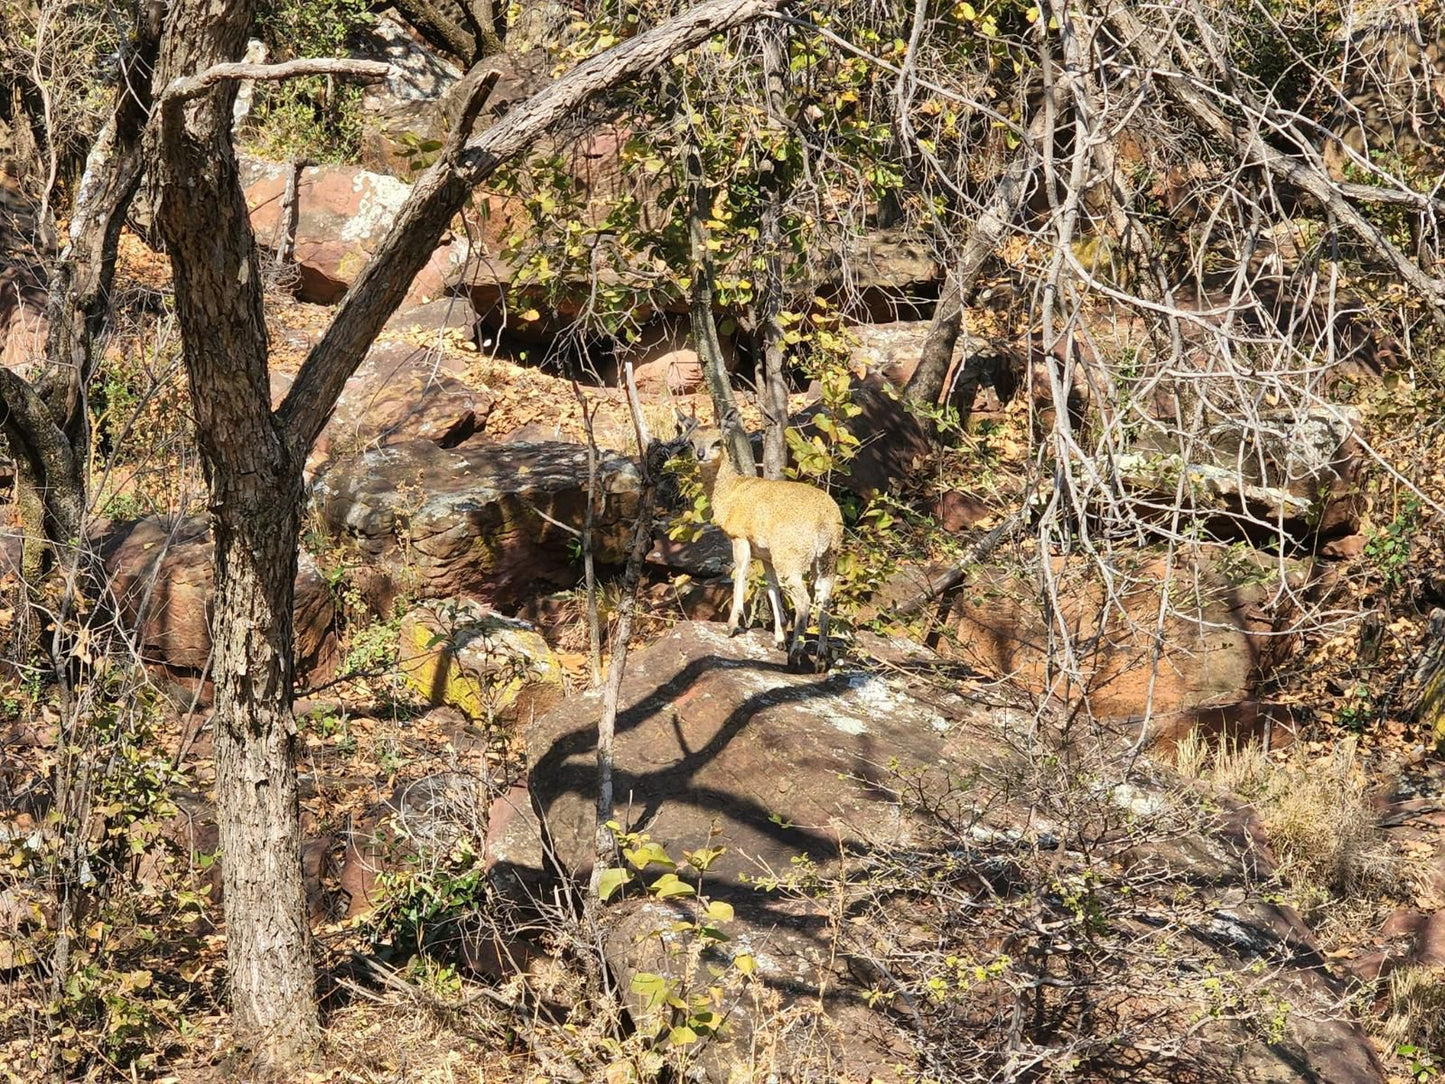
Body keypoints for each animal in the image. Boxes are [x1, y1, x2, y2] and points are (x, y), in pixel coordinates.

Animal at [690, 427, 843, 670]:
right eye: (691, 442)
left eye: (717, 442)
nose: (701, 454)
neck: (730, 493)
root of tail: (826, 520)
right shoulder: (765, 555)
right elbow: (771, 588)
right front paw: (779, 637)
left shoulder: (740, 538)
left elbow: (740, 575)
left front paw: (731, 625)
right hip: (828, 558)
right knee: (824, 599)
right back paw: (819, 659)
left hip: (791, 559)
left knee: (804, 600)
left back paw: (795, 655)